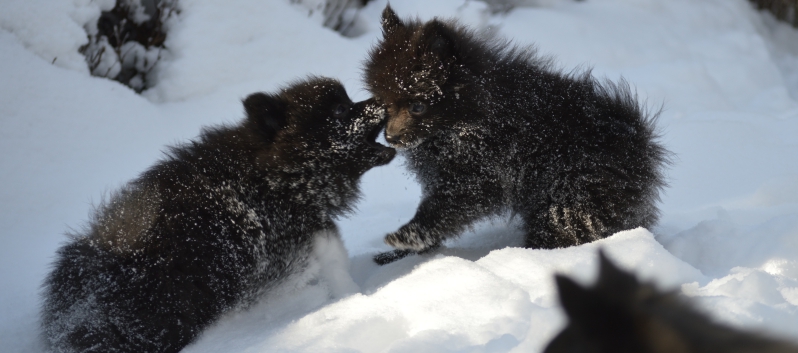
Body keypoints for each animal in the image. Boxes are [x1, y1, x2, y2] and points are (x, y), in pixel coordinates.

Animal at [366, 6, 672, 264]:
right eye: (384, 104)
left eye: (417, 106)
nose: (391, 137)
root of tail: (639, 140)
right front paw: (405, 252)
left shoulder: (479, 174)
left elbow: (442, 209)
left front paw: (407, 236)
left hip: (572, 196)